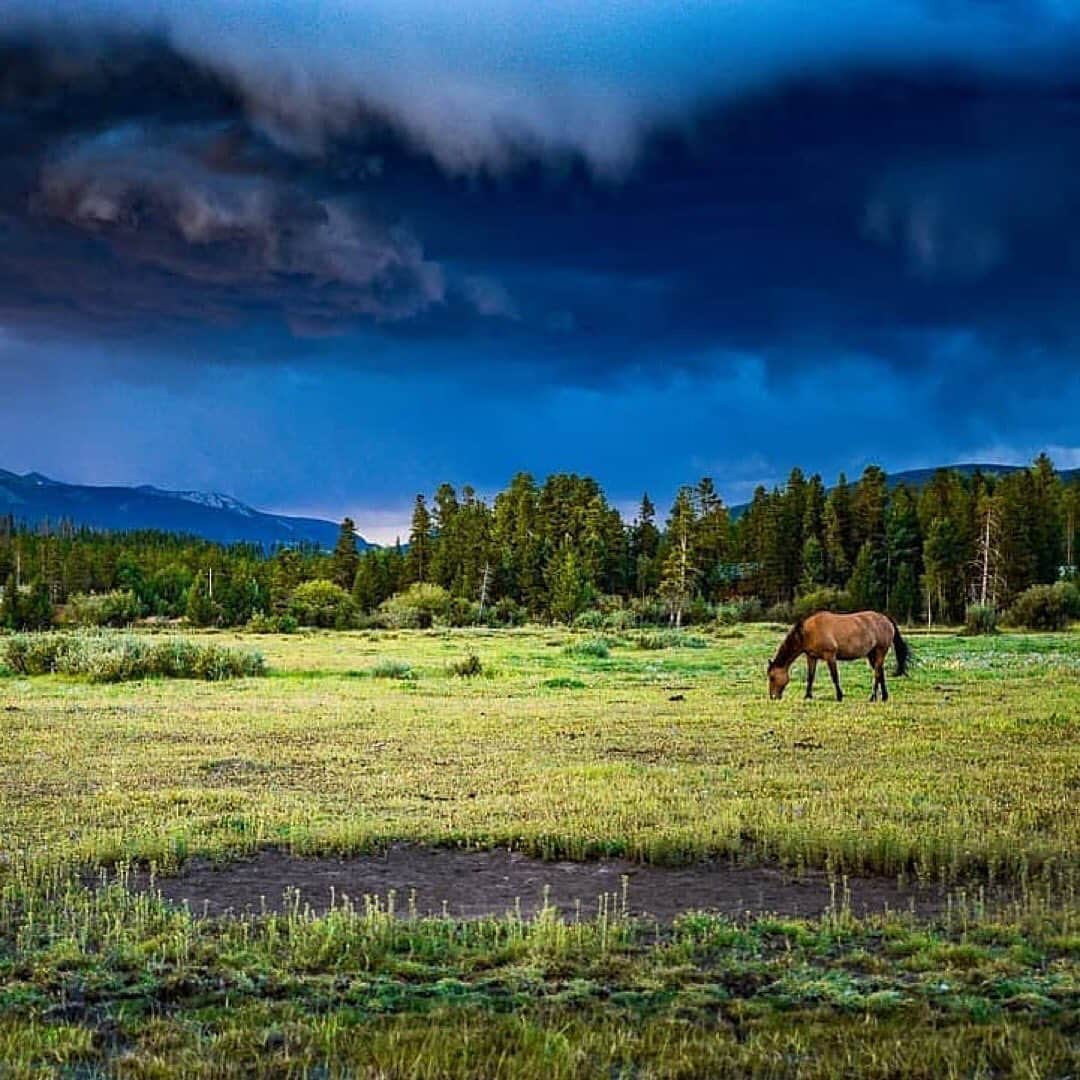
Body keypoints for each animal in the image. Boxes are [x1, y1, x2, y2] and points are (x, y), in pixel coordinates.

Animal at [768, 613, 911, 704]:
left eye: (772, 677)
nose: (773, 697)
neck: (807, 632)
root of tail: (886, 619)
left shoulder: (830, 656)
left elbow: (834, 676)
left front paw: (839, 696)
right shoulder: (811, 657)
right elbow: (810, 677)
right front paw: (807, 696)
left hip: (881, 651)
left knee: (877, 674)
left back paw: (872, 697)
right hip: (872, 654)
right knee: (880, 673)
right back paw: (884, 697)